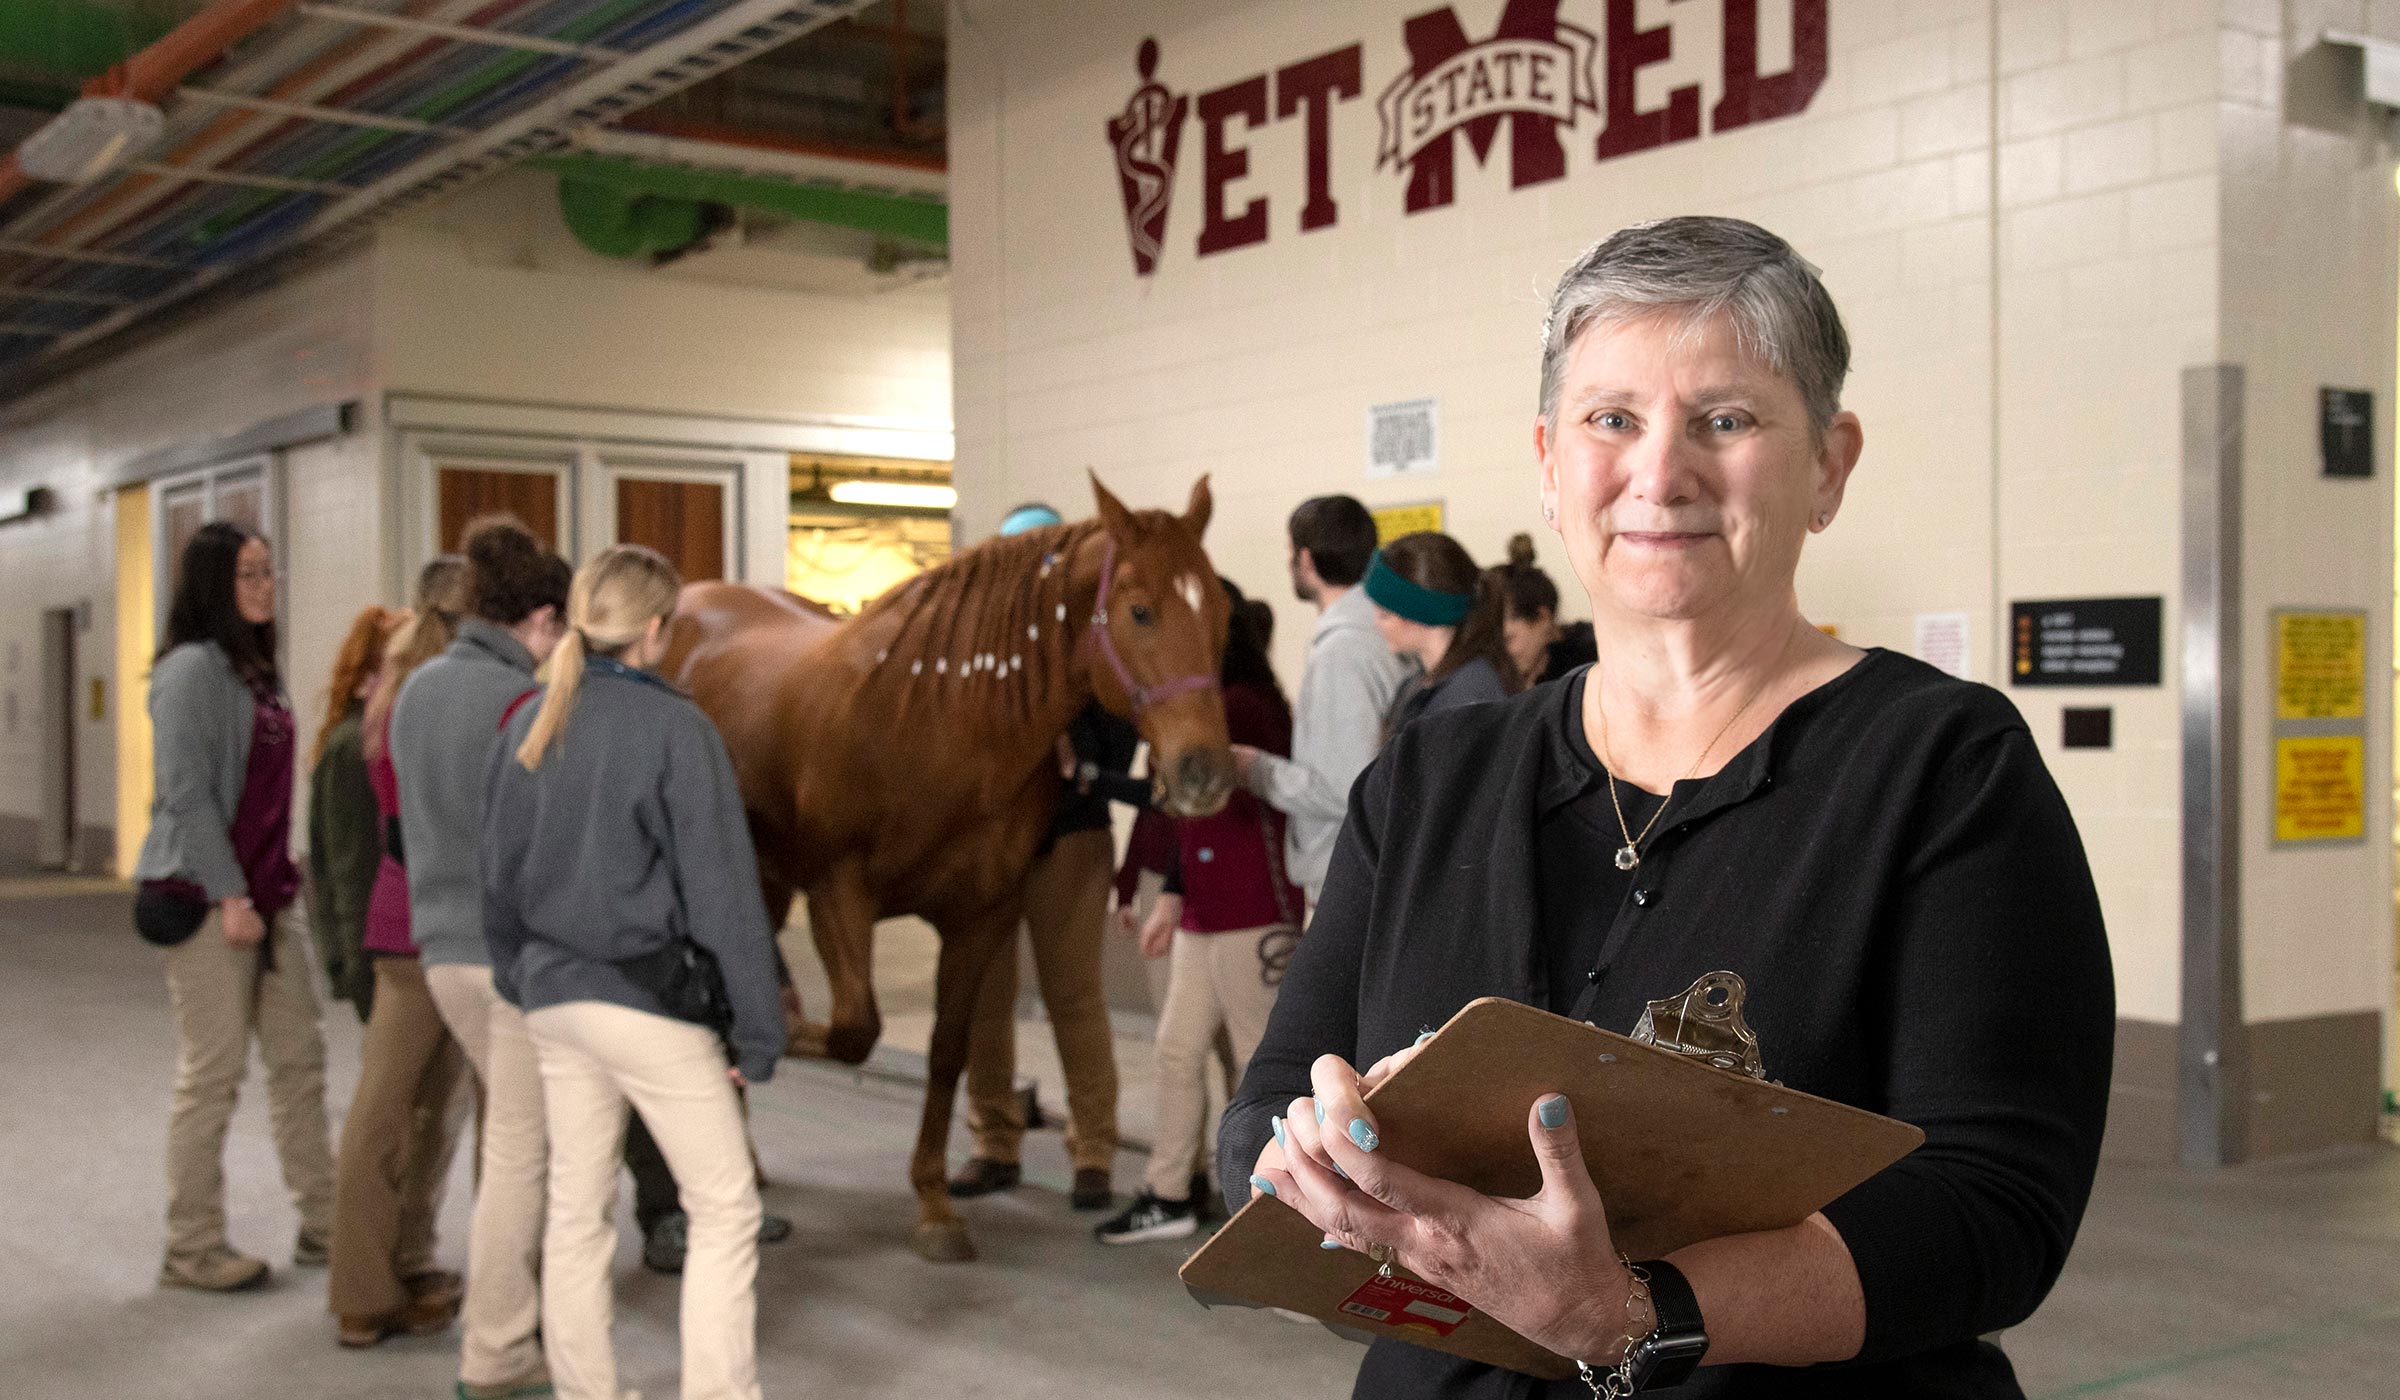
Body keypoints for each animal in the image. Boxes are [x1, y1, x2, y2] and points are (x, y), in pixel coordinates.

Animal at [667, 480, 1228, 1258]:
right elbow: (855, 1030)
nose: (1205, 773)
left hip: (768, 880)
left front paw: (934, 1203)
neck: (943, 718)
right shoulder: (838, 893)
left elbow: (947, 1051)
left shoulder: (980, 916)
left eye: (1221, 611)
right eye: (1141, 610)